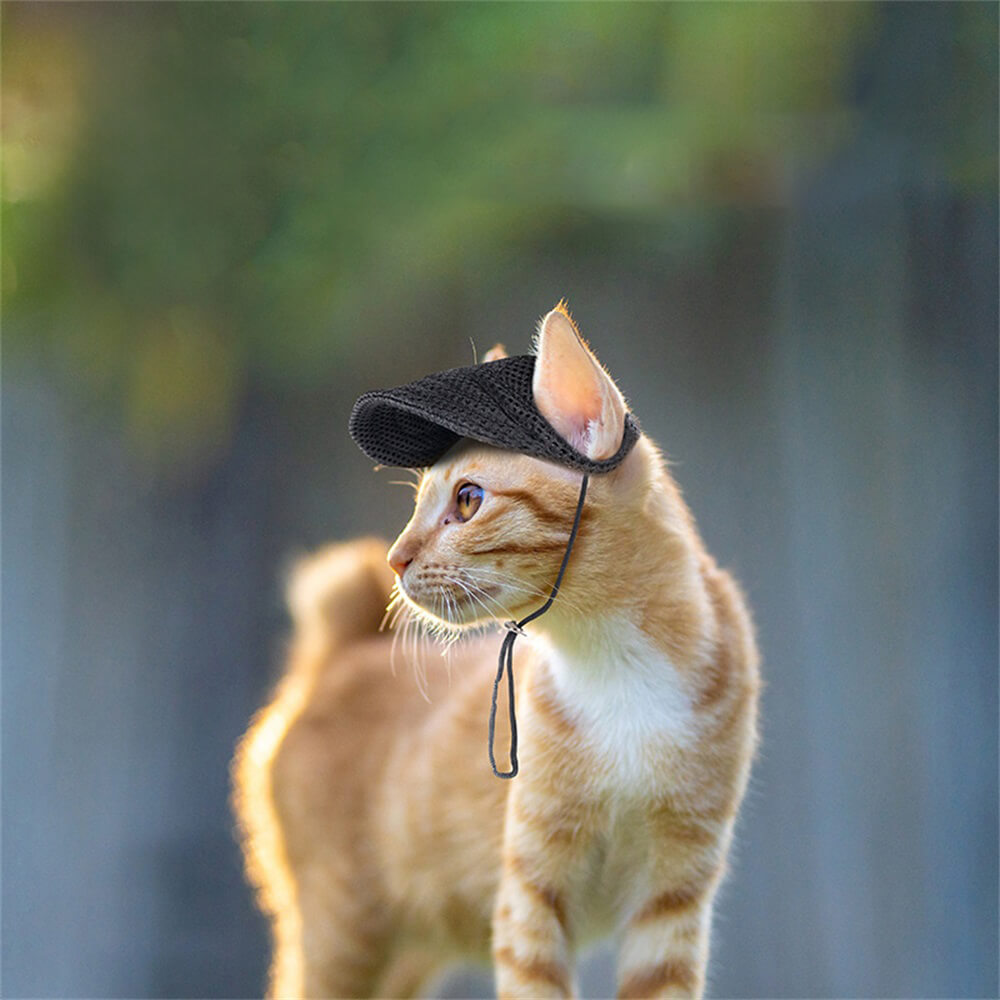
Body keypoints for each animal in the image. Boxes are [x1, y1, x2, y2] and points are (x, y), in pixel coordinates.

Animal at [234, 306, 760, 1000]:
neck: (613, 661)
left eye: (468, 500)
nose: (394, 557)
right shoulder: (529, 894)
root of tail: (342, 650)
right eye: (417, 504)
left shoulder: (672, 897)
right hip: (340, 934)